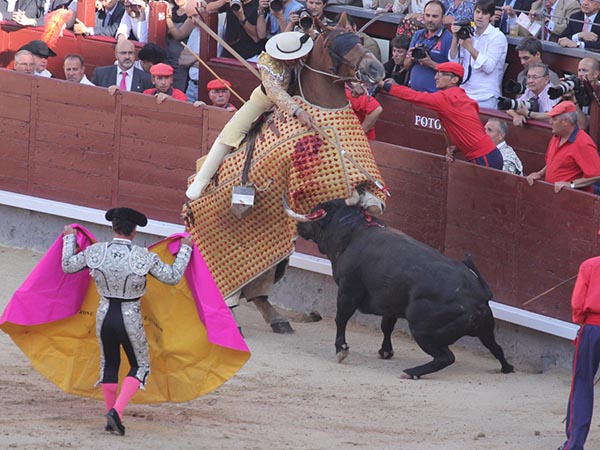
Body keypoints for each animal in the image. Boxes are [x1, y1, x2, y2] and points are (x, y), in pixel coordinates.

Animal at [185, 15, 386, 334]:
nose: (375, 69)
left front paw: (371, 202)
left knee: (260, 281)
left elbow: (366, 191)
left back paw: (276, 317)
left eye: (358, 38)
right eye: (334, 46)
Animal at [298, 200, 512, 380]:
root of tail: (478, 295)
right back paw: (506, 368)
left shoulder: (347, 290)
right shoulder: (389, 301)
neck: (352, 231)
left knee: (446, 357)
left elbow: (341, 319)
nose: (298, 226)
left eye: (312, 213)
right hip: (485, 329)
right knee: (497, 348)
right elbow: (386, 325)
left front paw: (341, 350)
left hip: (422, 329)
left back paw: (411, 372)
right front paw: (385, 351)